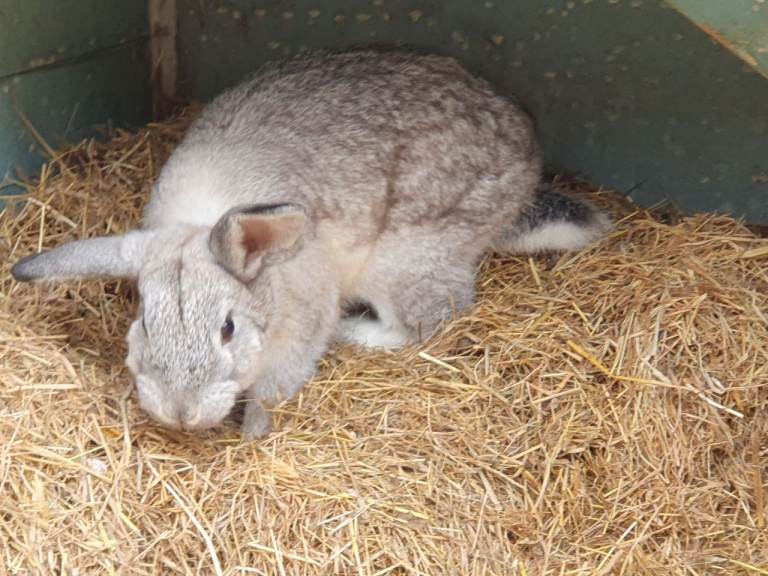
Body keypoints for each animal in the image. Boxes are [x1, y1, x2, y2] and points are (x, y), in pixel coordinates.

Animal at [11, 49, 611, 438]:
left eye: (228, 328)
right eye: (143, 322)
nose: (181, 413)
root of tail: (526, 169)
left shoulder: (299, 324)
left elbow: (278, 384)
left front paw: (253, 432)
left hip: (404, 261)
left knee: (431, 320)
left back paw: (355, 333)